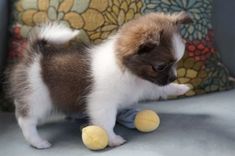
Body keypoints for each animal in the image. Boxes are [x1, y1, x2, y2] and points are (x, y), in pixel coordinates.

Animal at [7, 11, 193, 149]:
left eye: (176, 63)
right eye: (160, 66)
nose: (174, 77)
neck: (129, 72)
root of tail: (33, 55)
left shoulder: (145, 85)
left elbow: (160, 88)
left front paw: (180, 88)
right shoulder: (103, 103)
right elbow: (107, 122)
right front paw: (112, 139)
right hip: (36, 99)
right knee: (26, 120)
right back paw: (38, 142)